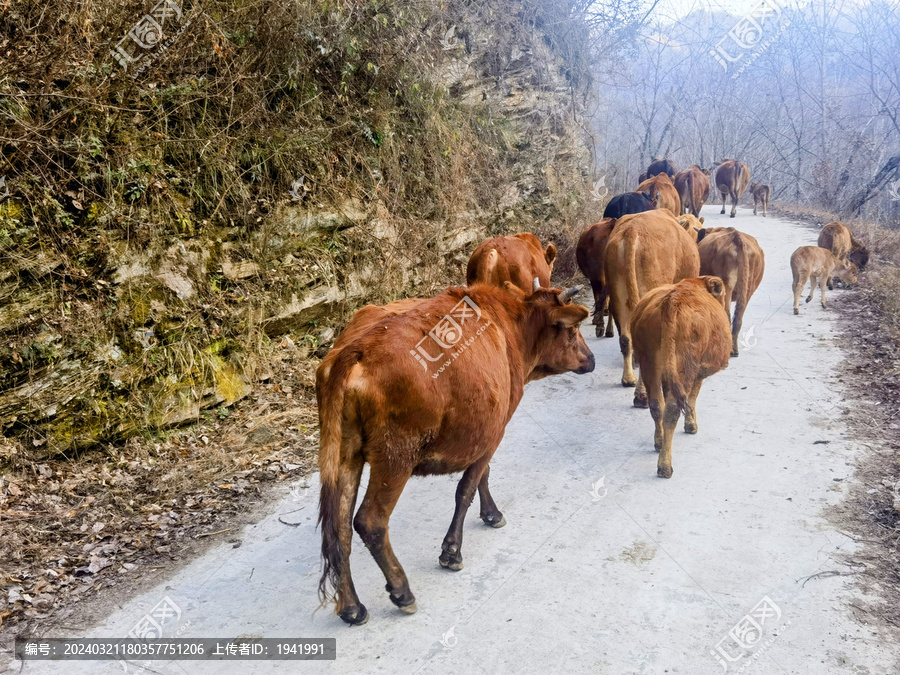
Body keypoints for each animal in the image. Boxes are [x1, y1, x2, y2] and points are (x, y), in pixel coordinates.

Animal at [312, 278, 596, 624]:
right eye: (573, 330)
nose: (591, 358)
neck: (512, 324)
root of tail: (357, 348)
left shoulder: (485, 429)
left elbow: (480, 477)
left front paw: (489, 514)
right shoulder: (495, 430)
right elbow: (468, 486)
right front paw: (453, 550)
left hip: (346, 454)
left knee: (339, 528)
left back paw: (351, 606)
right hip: (396, 457)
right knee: (370, 521)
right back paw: (401, 590)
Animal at [632, 278, 732, 478]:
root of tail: (673, 299)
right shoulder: (700, 369)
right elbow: (692, 397)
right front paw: (691, 424)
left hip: (650, 363)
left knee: (657, 405)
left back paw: (659, 442)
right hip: (686, 365)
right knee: (672, 410)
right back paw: (665, 466)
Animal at [700, 227, 764, 356]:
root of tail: (737, 239)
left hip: (726, 284)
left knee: (727, 314)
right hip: (748, 286)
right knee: (738, 315)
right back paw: (734, 348)